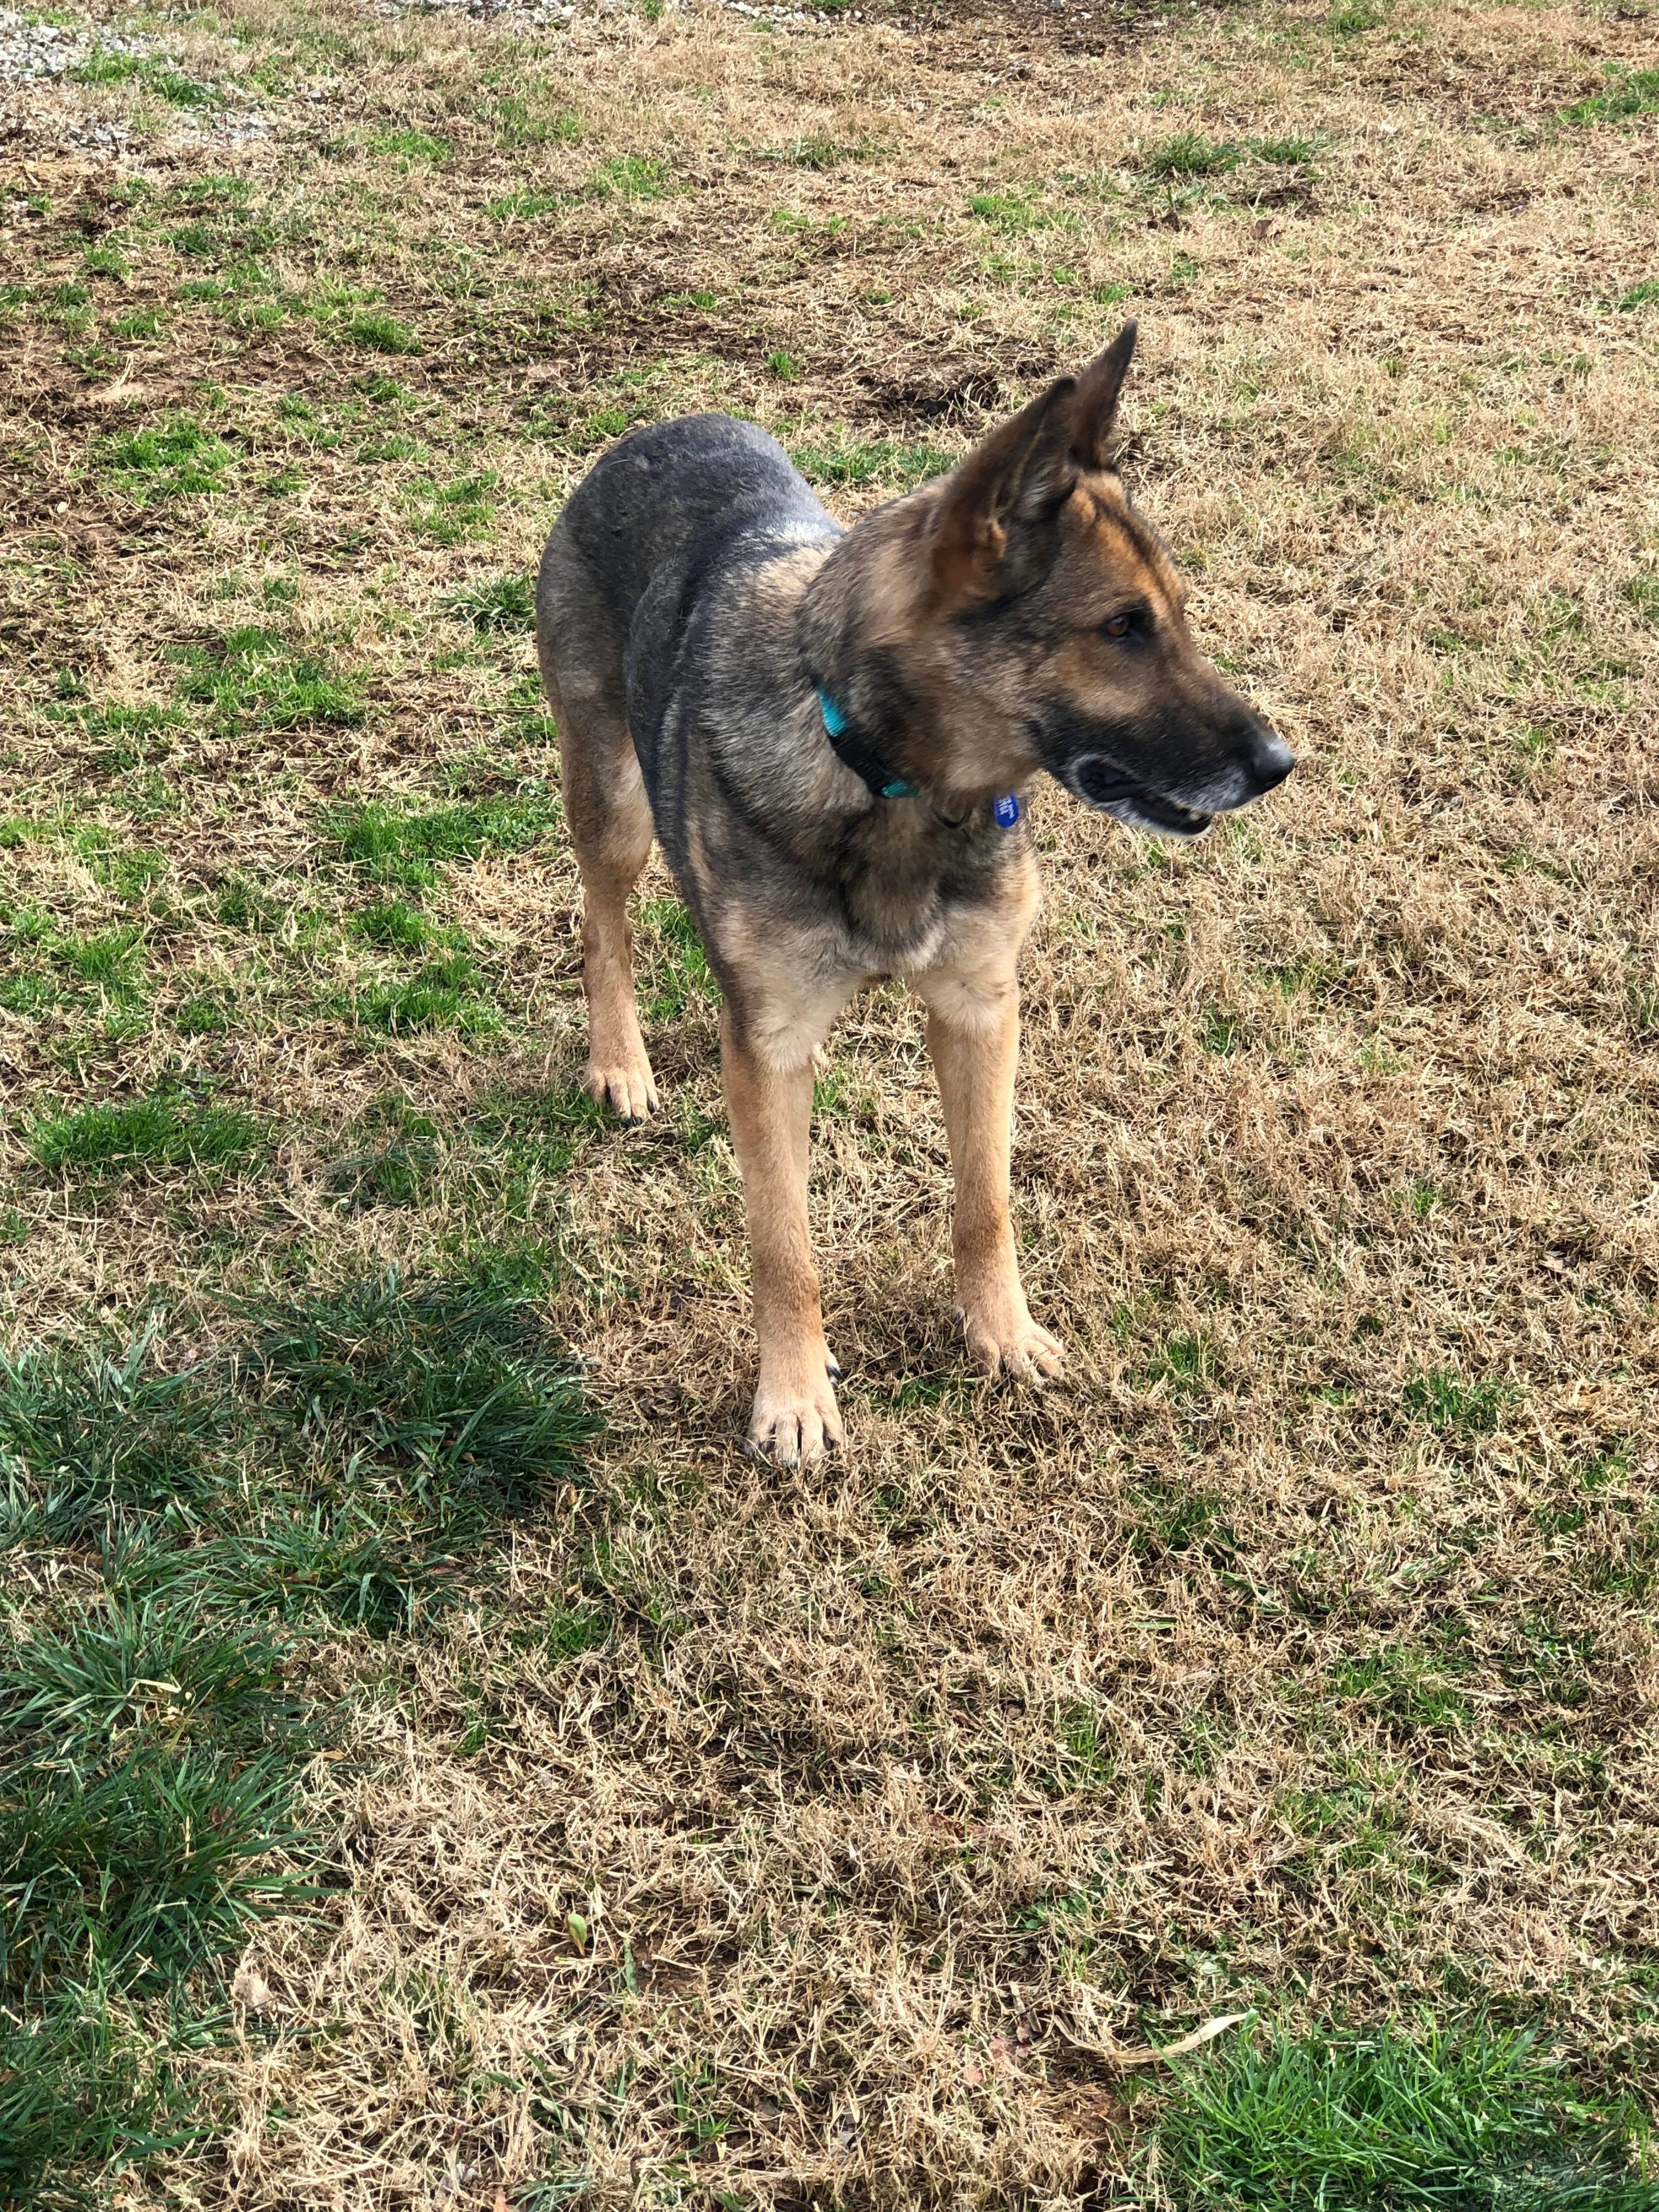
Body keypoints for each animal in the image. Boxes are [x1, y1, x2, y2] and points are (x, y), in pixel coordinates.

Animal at [539, 323, 1291, 1469]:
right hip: (615, 804)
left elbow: (985, 1196)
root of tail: (657, 432)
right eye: (1121, 627)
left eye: (1170, 618)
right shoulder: (772, 1047)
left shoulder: (979, 1009)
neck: (885, 778)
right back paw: (618, 1060)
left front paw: (1001, 1332)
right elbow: (782, 1243)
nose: (1278, 764)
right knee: (602, 922)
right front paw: (794, 1395)